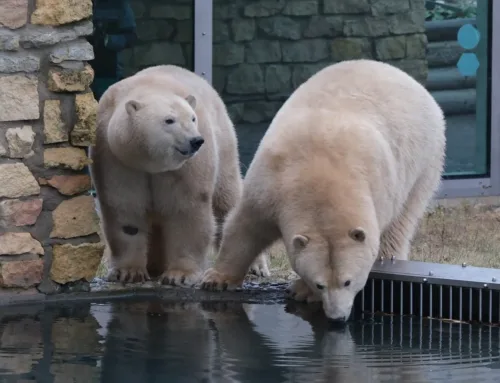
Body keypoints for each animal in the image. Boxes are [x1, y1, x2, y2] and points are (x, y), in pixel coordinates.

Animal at [90, 63, 270, 284]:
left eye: (193, 118)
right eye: (169, 120)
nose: (196, 140)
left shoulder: (185, 167)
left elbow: (186, 207)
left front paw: (180, 275)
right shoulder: (117, 158)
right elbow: (126, 207)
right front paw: (128, 272)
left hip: (225, 145)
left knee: (227, 201)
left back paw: (256, 267)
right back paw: (155, 265)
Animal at [201, 59, 448, 324]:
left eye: (348, 282)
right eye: (320, 284)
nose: (337, 317)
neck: (319, 177)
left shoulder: (378, 189)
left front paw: (300, 290)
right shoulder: (269, 181)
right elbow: (245, 226)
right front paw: (216, 279)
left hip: (424, 159)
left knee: (401, 220)